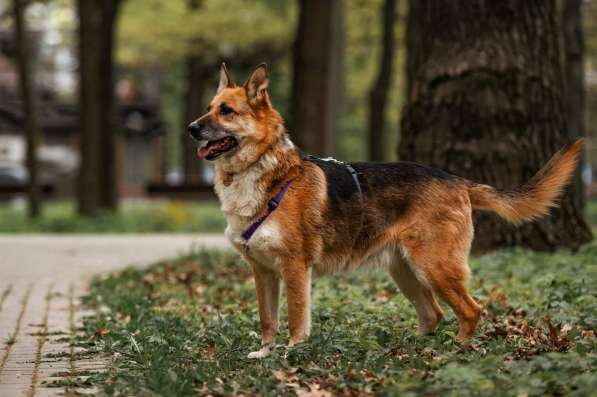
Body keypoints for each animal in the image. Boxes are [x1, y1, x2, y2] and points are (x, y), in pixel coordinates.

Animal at [189, 62, 584, 358]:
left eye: (226, 111)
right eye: (208, 107)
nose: (191, 128)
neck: (265, 174)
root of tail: (457, 180)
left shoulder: (295, 268)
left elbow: (296, 318)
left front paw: (292, 353)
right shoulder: (264, 272)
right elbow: (267, 319)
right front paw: (266, 354)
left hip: (435, 268)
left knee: (471, 311)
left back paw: (456, 352)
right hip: (405, 272)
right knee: (433, 315)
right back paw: (413, 351)